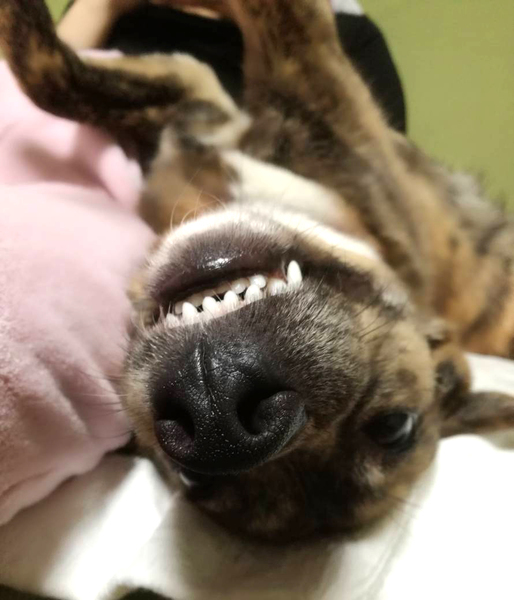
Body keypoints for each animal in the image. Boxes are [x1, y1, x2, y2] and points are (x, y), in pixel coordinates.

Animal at [2, 0, 514, 544]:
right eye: (193, 476)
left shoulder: (314, 85)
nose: (219, 418)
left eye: (392, 427)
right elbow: (46, 74)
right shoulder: (196, 96)